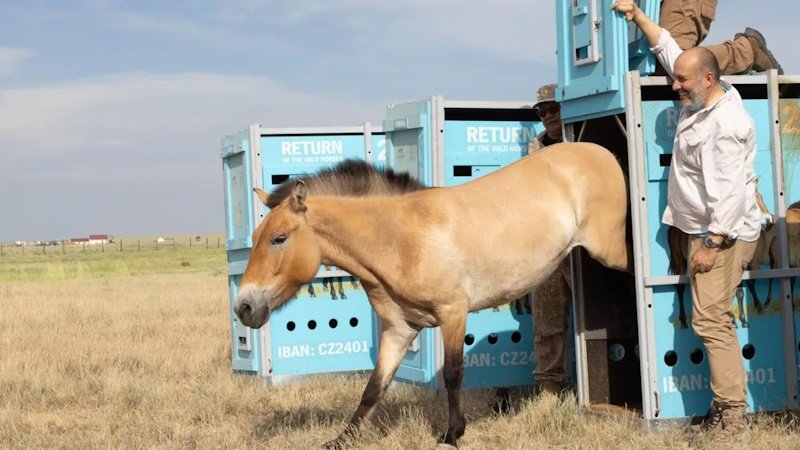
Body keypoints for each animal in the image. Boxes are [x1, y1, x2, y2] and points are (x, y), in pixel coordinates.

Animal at [234, 143, 628, 446]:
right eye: (256, 238)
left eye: (279, 238)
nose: (244, 307)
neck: (400, 238)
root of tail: (601, 153)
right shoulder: (399, 330)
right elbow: (374, 386)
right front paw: (341, 439)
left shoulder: (453, 312)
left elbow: (453, 373)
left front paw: (452, 434)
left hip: (612, 253)